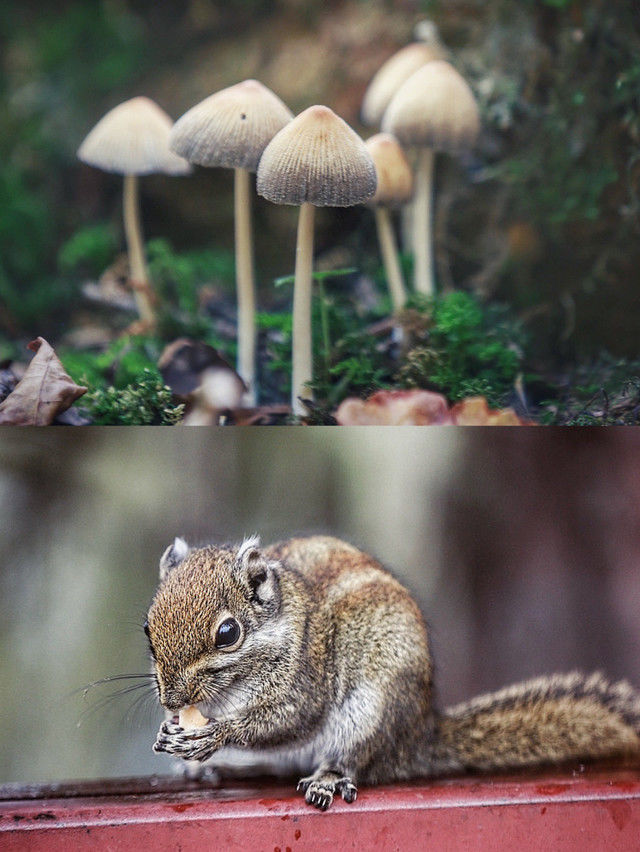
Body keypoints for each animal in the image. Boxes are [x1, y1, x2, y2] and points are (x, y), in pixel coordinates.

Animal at [146, 536, 640, 808]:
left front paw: (216, 734)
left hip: (370, 711)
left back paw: (328, 778)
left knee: (356, 758)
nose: (172, 700)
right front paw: (171, 729)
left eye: (228, 633)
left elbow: (289, 719)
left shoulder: (307, 678)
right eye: (148, 628)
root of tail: (419, 733)